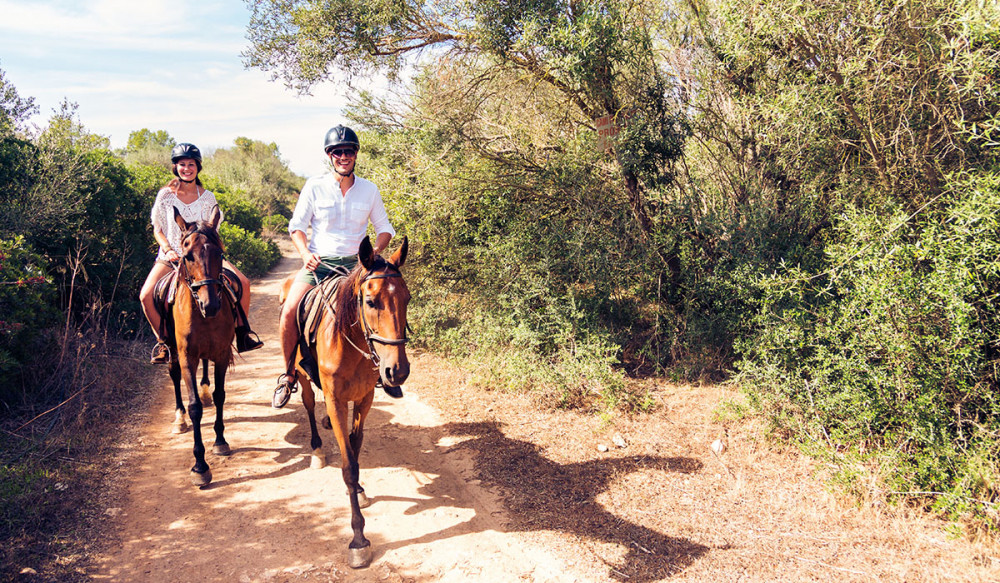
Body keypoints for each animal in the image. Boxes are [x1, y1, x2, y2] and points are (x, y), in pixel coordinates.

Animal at [278, 235, 410, 568]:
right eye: (371, 301)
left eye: (408, 298)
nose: (398, 370)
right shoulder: (337, 400)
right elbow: (348, 463)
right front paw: (359, 539)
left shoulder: (365, 397)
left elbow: (355, 445)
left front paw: (360, 488)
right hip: (301, 375)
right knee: (309, 404)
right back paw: (316, 449)